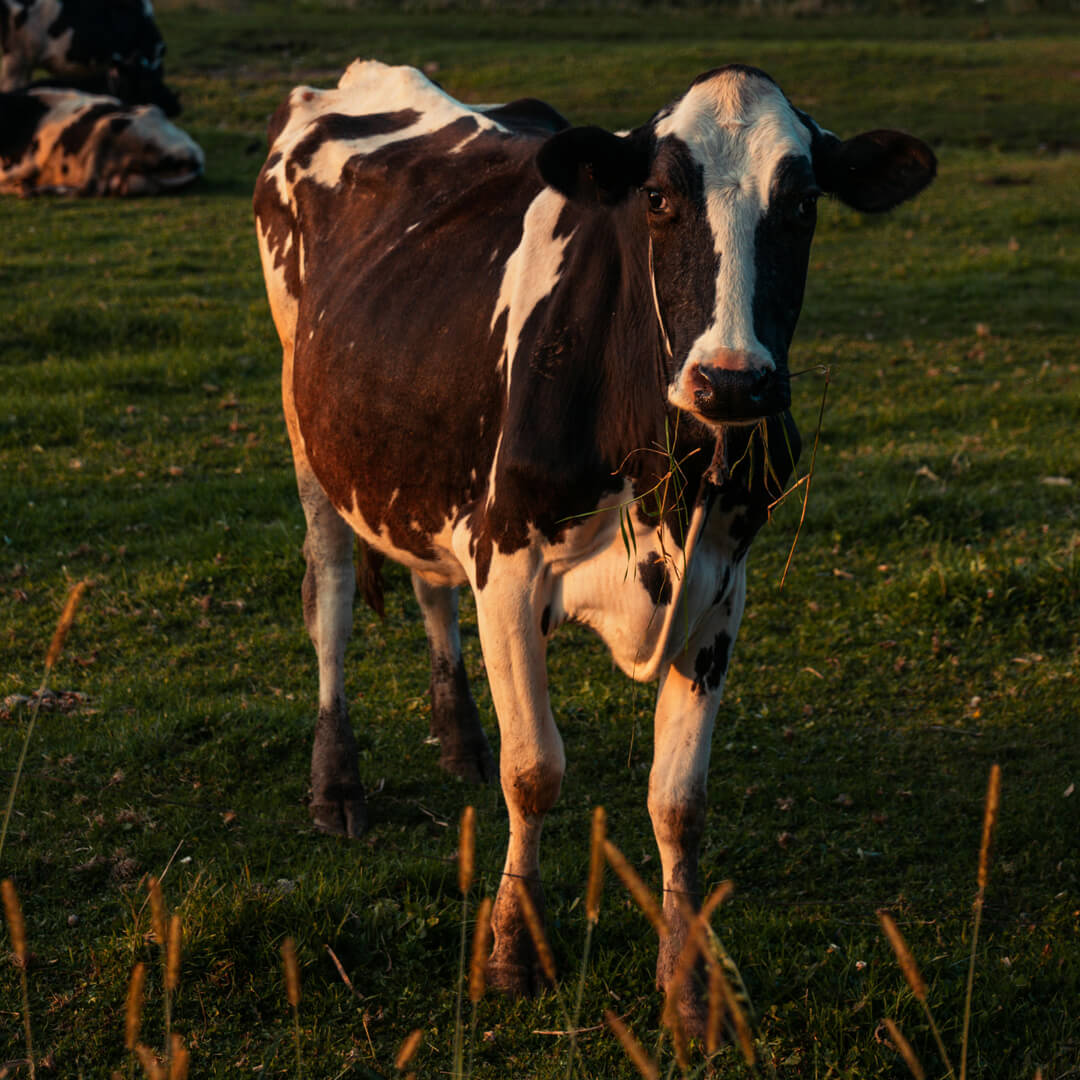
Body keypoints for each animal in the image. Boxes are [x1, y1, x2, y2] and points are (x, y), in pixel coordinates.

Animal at [254, 59, 937, 1028]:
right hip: (307, 429)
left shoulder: (720, 590)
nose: (732, 381)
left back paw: (460, 739)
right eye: (656, 197)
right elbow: (535, 770)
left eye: (803, 203)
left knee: (429, 585)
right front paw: (513, 951)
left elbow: (678, 801)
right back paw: (337, 784)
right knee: (334, 603)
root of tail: (362, 76)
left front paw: (689, 982)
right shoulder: (507, 562)